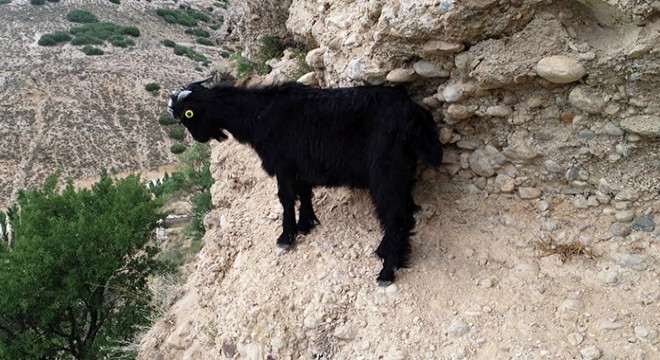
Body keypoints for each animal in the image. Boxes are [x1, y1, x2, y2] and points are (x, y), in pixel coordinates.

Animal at [168, 77, 440, 286]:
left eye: (188, 114)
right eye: (180, 119)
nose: (199, 138)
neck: (260, 114)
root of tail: (413, 113)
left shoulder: (284, 165)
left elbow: (287, 198)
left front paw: (285, 237)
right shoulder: (300, 167)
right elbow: (305, 194)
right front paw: (306, 225)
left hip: (386, 173)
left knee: (396, 215)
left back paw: (387, 271)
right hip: (401, 172)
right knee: (404, 211)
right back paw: (388, 252)